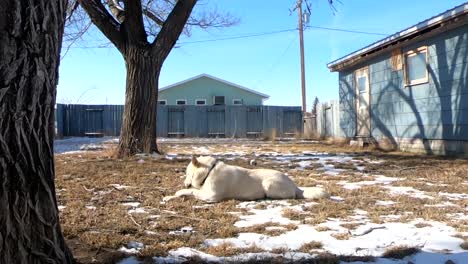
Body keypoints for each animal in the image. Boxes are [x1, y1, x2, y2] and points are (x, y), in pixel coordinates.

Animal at [165, 156, 330, 203]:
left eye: (187, 173)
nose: (184, 182)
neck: (209, 171)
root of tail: (296, 186)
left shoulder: (210, 197)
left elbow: (190, 191)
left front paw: (177, 193)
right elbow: (190, 191)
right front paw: (169, 196)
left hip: (268, 184)